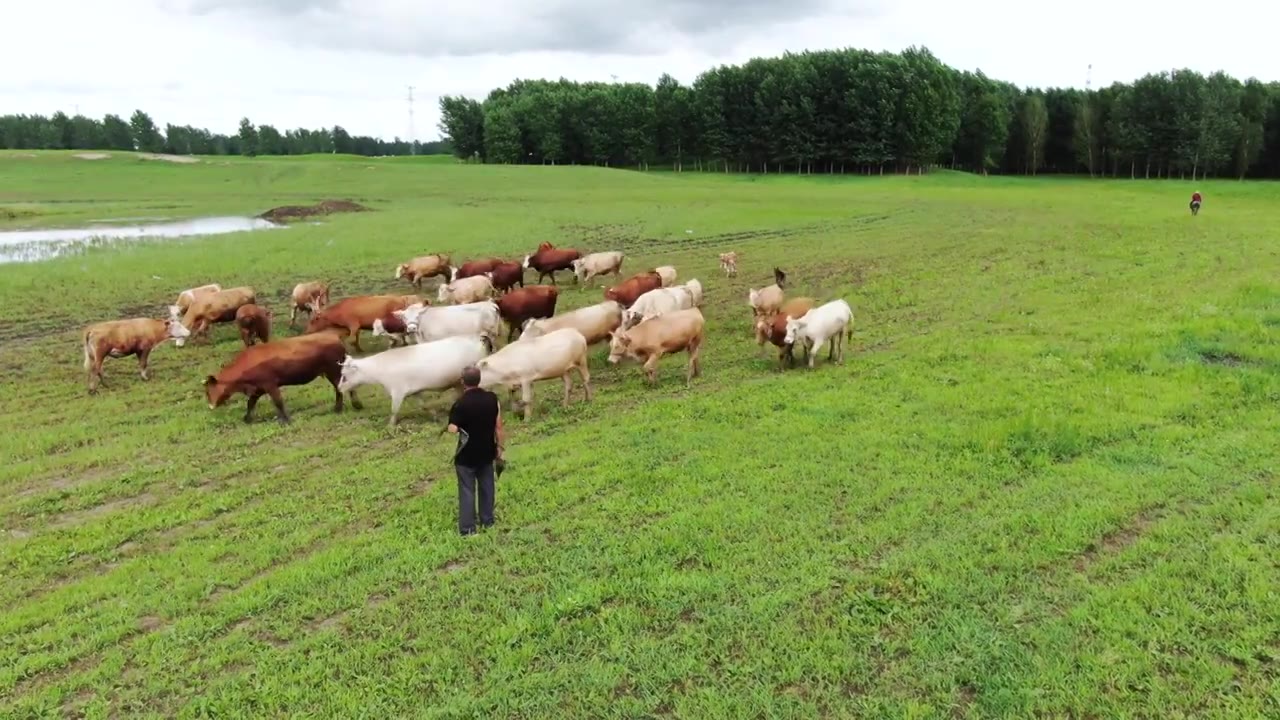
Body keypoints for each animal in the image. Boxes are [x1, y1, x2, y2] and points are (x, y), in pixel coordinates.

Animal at [204, 330, 363, 422]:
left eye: (208, 390)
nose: (210, 406)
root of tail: (335, 337)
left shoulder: (270, 385)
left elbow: (278, 402)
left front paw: (286, 419)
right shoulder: (258, 389)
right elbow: (250, 403)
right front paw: (247, 418)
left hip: (333, 371)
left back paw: (347, 407)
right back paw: (348, 406)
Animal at [335, 333, 494, 425]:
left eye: (344, 376)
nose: (339, 388)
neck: (381, 367)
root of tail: (478, 340)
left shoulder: (398, 392)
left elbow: (394, 410)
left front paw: (390, 426)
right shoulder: (414, 392)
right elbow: (423, 405)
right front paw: (435, 416)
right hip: (459, 383)